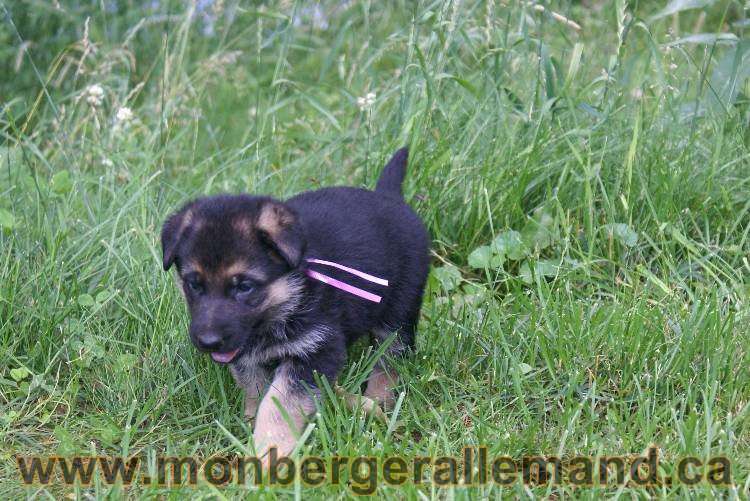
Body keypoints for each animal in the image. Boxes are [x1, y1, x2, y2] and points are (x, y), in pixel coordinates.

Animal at [162, 148, 432, 460]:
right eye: (193, 285)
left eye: (244, 287)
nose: (208, 342)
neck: (290, 293)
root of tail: (389, 197)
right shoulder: (247, 355)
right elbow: (255, 388)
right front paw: (250, 423)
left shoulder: (316, 349)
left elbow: (279, 405)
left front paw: (268, 450)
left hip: (399, 309)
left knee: (391, 356)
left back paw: (377, 401)